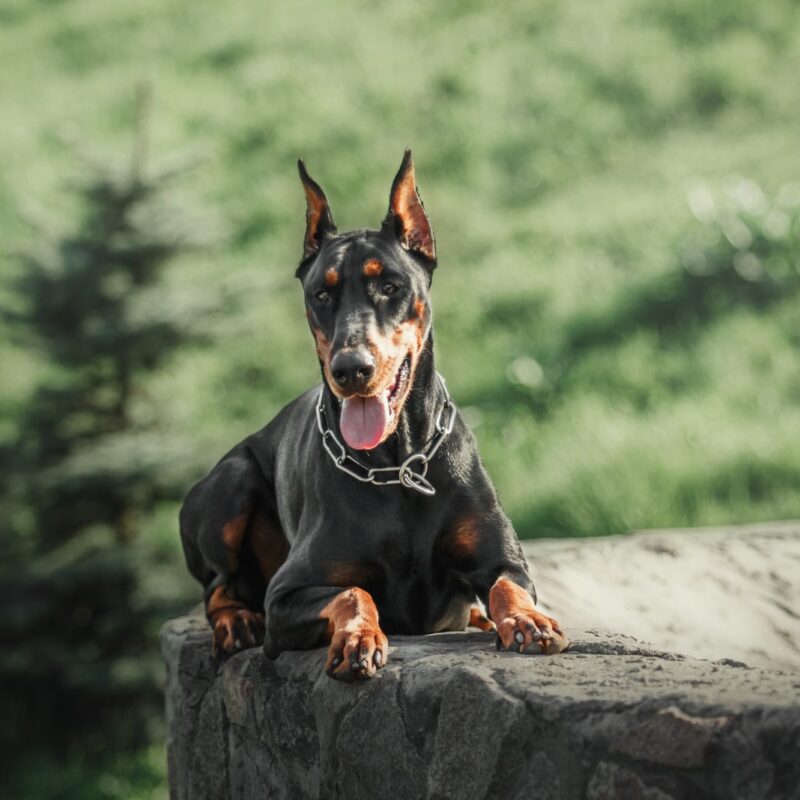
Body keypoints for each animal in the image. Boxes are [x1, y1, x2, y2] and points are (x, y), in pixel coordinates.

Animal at [181, 148, 568, 680]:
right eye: (321, 295)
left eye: (390, 285)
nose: (351, 368)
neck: (397, 465)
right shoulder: (287, 593)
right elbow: (352, 591)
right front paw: (357, 638)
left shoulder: (504, 559)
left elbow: (508, 586)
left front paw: (529, 621)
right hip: (232, 482)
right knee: (217, 587)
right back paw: (236, 622)